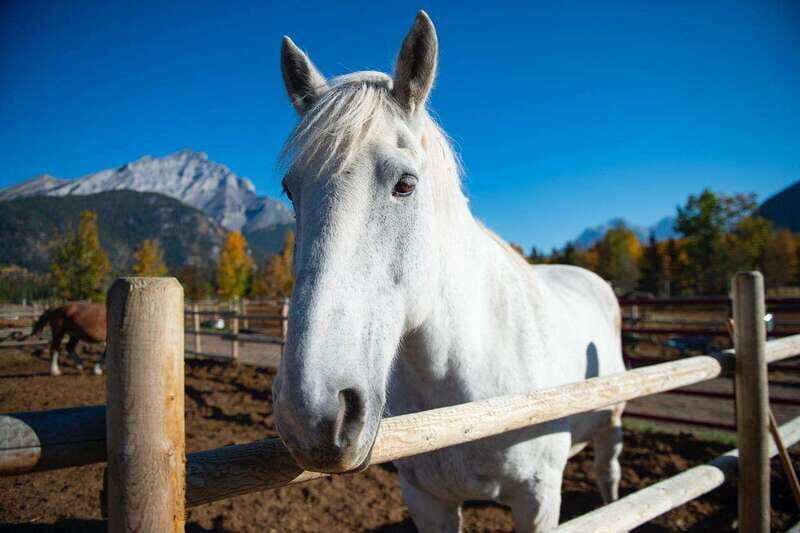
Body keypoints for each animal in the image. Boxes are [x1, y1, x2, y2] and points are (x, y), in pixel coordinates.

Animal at [272, 12, 625, 532]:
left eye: (405, 184)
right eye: (290, 190)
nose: (311, 415)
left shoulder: (538, 496)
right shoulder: (427, 499)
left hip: (610, 423)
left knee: (608, 475)